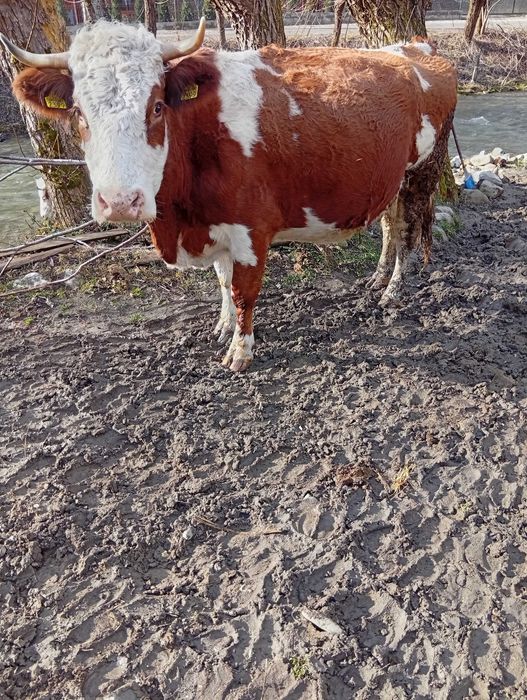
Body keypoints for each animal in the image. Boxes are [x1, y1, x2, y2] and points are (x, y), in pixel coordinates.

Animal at [1, 21, 457, 371]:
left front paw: (241, 351)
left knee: (407, 231)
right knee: (389, 225)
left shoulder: (251, 229)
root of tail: (413, 47)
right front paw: (222, 327)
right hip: (391, 179)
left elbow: (243, 291)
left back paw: (393, 289)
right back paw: (377, 277)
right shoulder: (214, 223)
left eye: (157, 107)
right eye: (79, 113)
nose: (120, 202)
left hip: (421, 172)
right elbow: (221, 280)